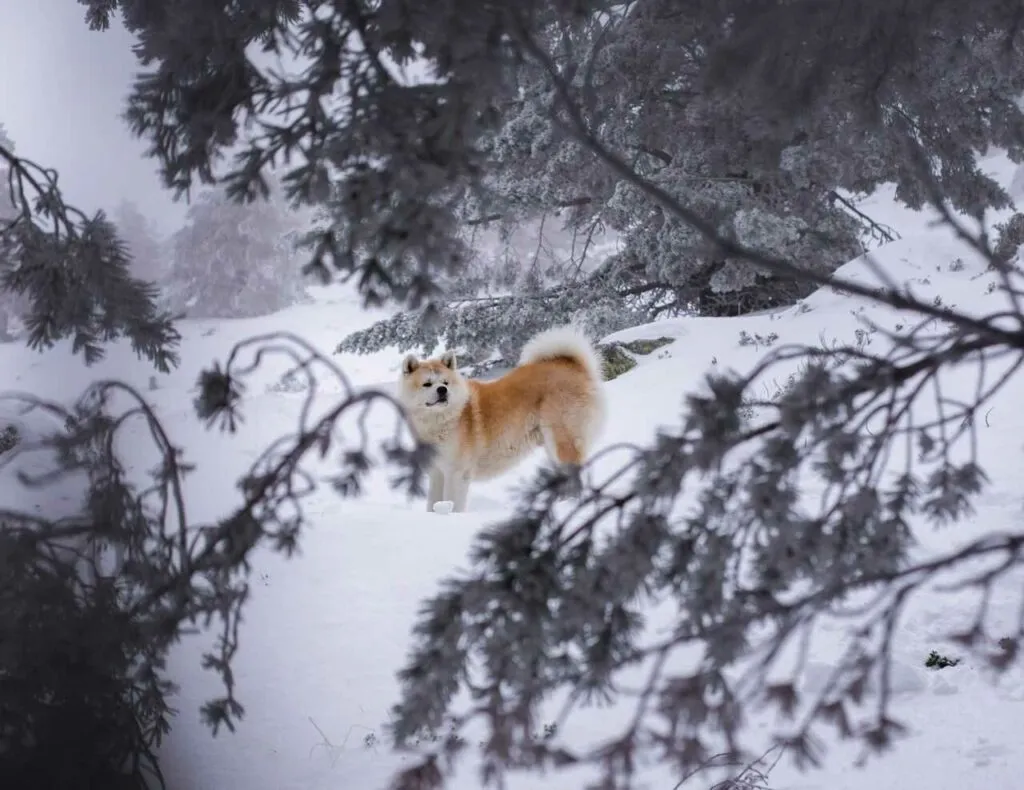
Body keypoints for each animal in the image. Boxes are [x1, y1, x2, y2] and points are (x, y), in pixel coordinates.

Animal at [397, 325, 606, 512]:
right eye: (427, 384)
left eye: (445, 383)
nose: (442, 390)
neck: (441, 421)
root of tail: (574, 365)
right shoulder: (436, 473)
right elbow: (433, 504)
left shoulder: (456, 474)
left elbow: (453, 504)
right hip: (552, 447)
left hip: (563, 441)